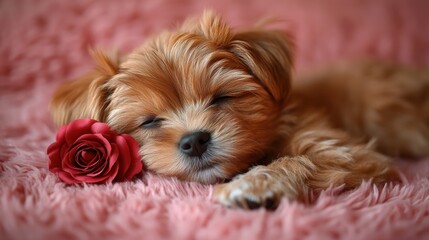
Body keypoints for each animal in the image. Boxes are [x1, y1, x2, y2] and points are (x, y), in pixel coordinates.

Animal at [51, 11, 428, 210]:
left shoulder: (345, 152)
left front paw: (253, 184)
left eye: (220, 98)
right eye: (149, 121)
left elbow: (298, 159)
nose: (194, 141)